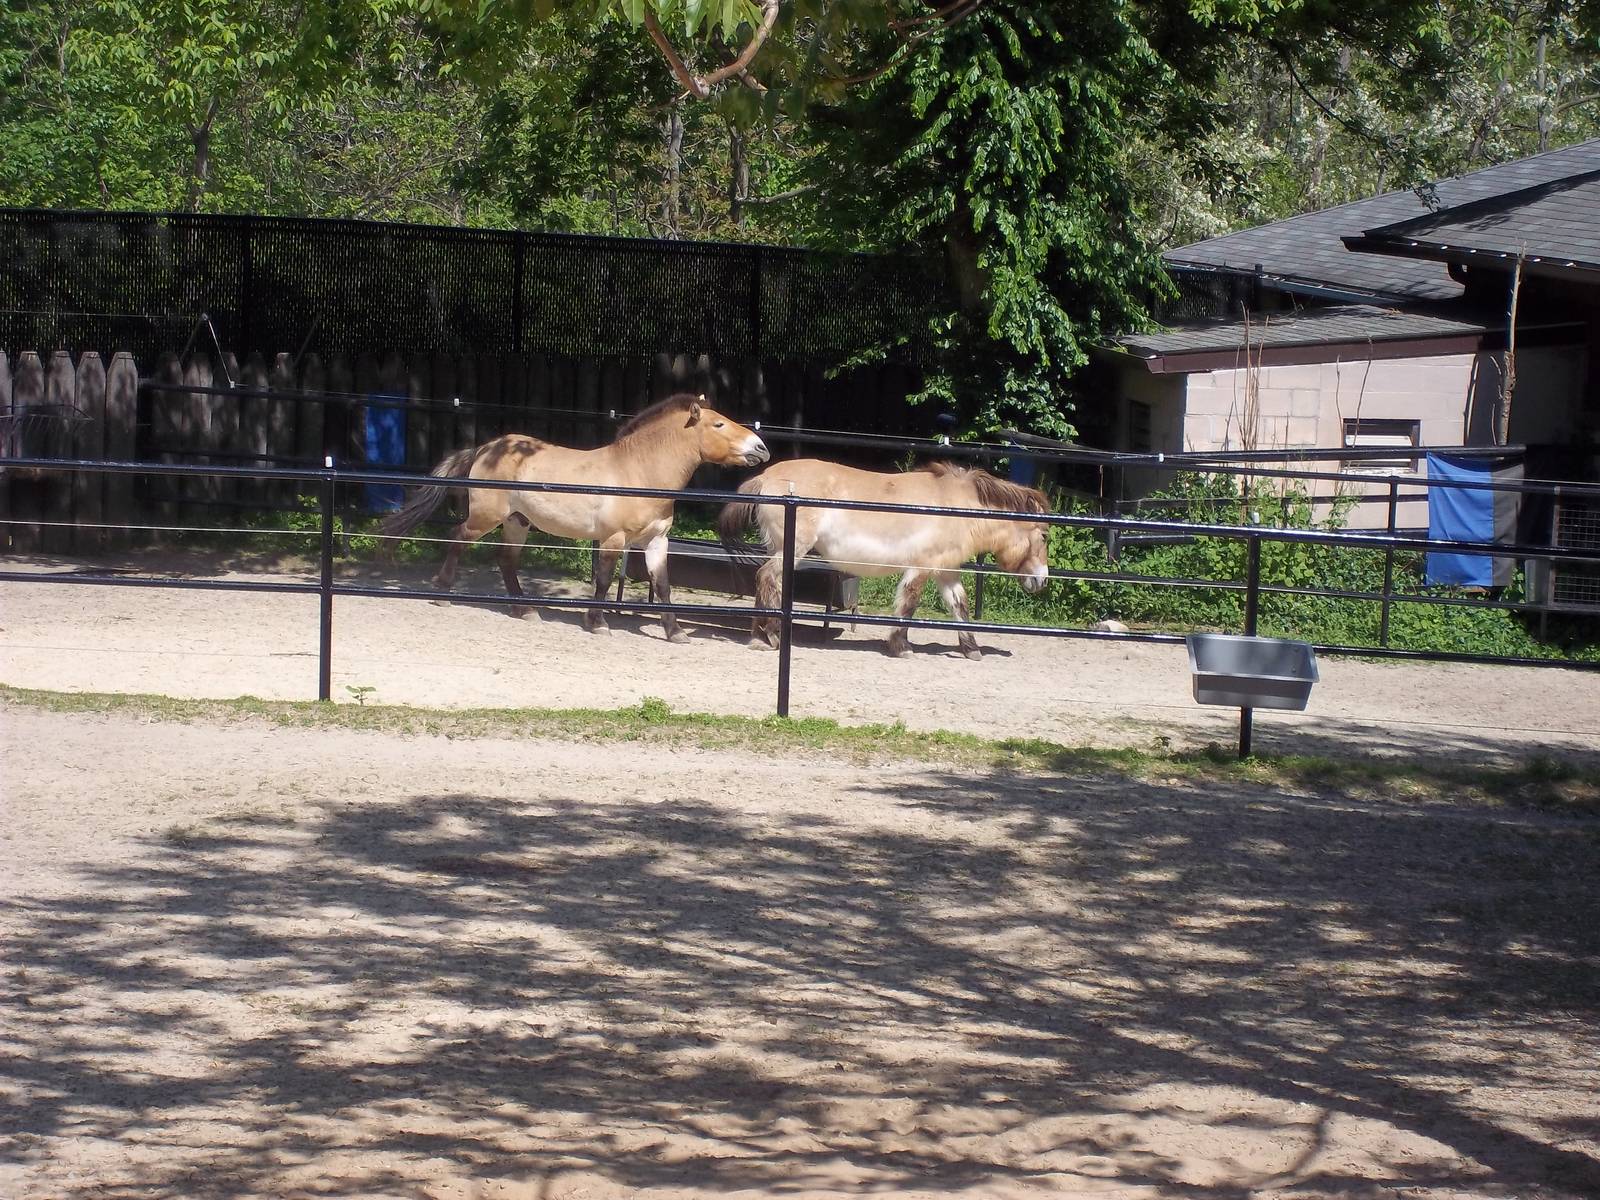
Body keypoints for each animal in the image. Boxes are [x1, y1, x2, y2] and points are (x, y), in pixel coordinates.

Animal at [382, 394, 768, 641]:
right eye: (719, 424)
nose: (761, 448)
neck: (638, 471)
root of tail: (485, 448)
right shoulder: (613, 539)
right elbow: (604, 581)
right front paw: (597, 623)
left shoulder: (656, 541)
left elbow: (663, 585)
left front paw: (675, 633)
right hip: (486, 517)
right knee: (459, 538)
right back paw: (443, 593)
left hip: (517, 522)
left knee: (507, 560)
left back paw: (525, 611)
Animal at [718, 458, 1051, 659]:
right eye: (1045, 535)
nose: (1042, 580)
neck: (956, 507)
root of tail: (765, 477)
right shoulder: (921, 567)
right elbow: (908, 603)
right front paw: (901, 646)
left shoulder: (946, 569)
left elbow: (960, 606)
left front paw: (971, 650)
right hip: (792, 549)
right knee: (768, 578)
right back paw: (773, 635)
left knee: (764, 581)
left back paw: (760, 637)